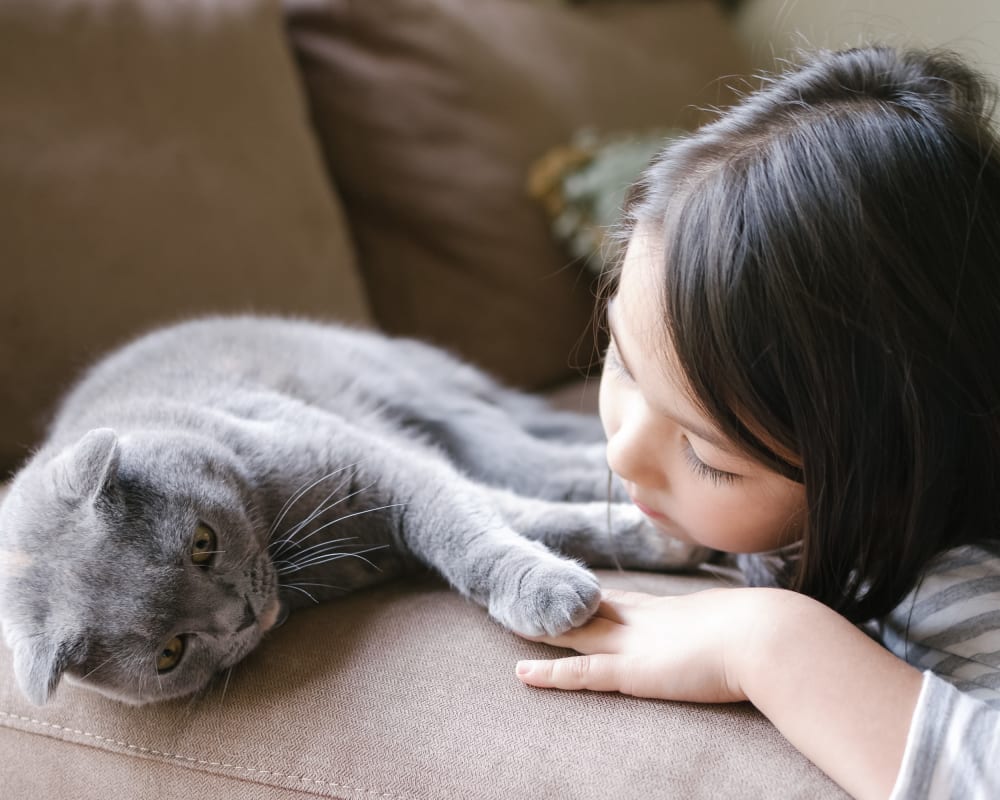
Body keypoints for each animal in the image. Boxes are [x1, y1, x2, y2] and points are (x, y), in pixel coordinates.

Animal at [0, 318, 708, 708]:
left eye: (202, 542)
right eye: (170, 653)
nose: (243, 615)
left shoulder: (381, 465)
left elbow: (472, 532)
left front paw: (555, 586)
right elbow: (515, 517)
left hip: (442, 402)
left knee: (545, 458)